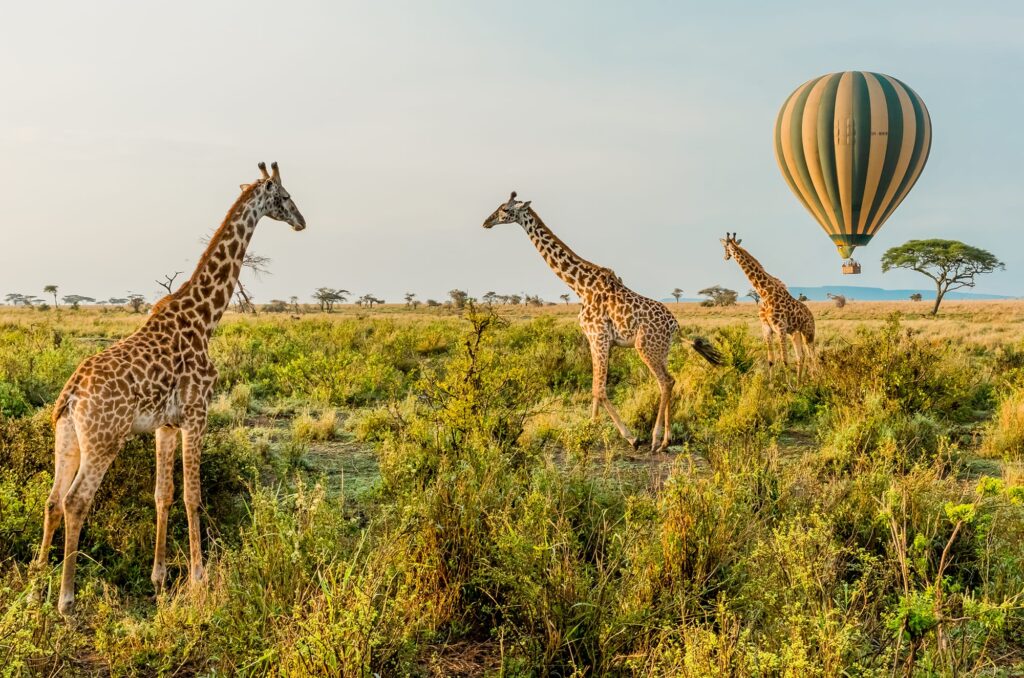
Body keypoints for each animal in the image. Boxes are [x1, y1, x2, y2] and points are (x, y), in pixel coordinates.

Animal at [37, 161, 307, 614]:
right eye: (285, 197)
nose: (302, 222)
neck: (205, 318)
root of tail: (71, 395)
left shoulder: (165, 425)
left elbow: (162, 494)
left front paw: (159, 575)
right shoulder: (198, 413)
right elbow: (192, 496)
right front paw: (199, 578)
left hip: (67, 436)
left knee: (53, 498)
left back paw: (37, 575)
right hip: (104, 440)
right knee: (76, 501)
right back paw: (66, 599)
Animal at [481, 193, 716, 454]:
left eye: (505, 209)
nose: (486, 222)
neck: (580, 286)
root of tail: (676, 325)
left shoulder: (598, 337)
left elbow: (599, 390)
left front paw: (630, 437)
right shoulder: (597, 340)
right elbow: (595, 389)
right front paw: (590, 430)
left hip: (645, 347)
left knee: (666, 381)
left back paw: (655, 440)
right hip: (661, 349)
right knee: (669, 380)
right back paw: (666, 440)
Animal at [720, 233, 815, 378]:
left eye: (725, 247)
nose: (725, 257)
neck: (764, 293)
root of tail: (812, 316)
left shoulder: (780, 328)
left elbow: (785, 360)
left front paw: (787, 384)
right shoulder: (767, 328)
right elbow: (771, 360)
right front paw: (771, 383)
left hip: (808, 333)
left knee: (813, 356)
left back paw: (817, 379)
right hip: (795, 333)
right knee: (801, 357)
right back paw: (801, 382)